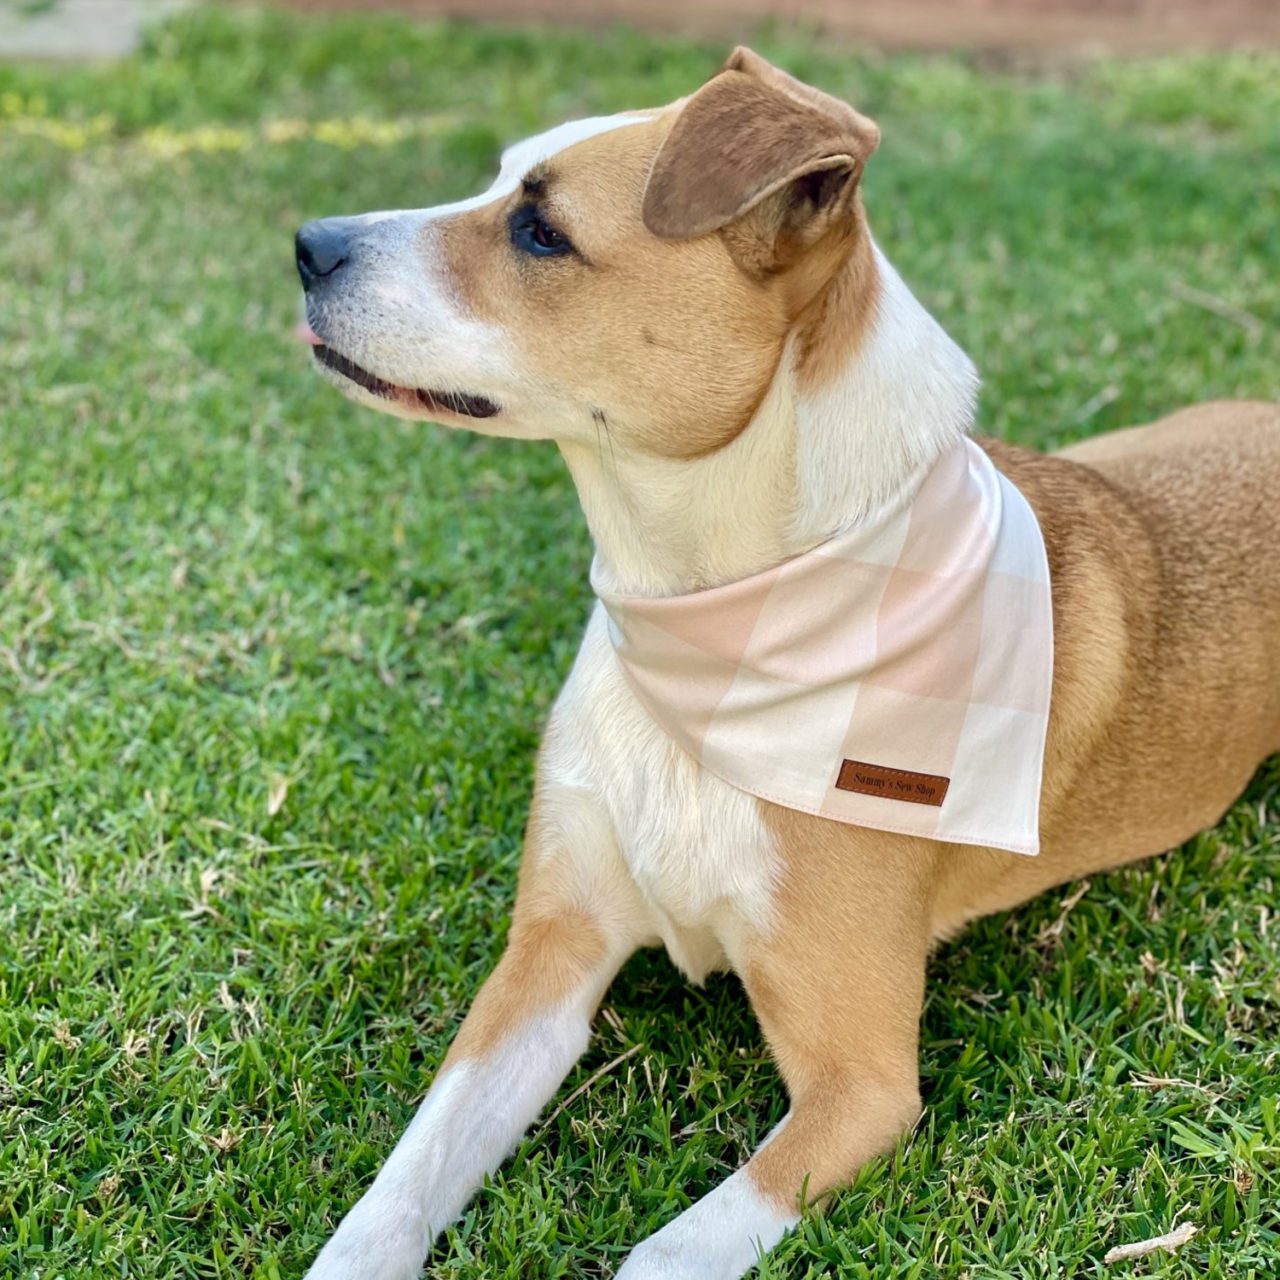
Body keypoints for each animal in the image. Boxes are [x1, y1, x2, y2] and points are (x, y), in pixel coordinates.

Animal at [293, 49, 1280, 1280]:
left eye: (540, 230)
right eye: (498, 179)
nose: (306, 243)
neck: (713, 627)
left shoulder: (859, 1086)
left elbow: (658, 1258)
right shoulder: (546, 962)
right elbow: (397, 1189)